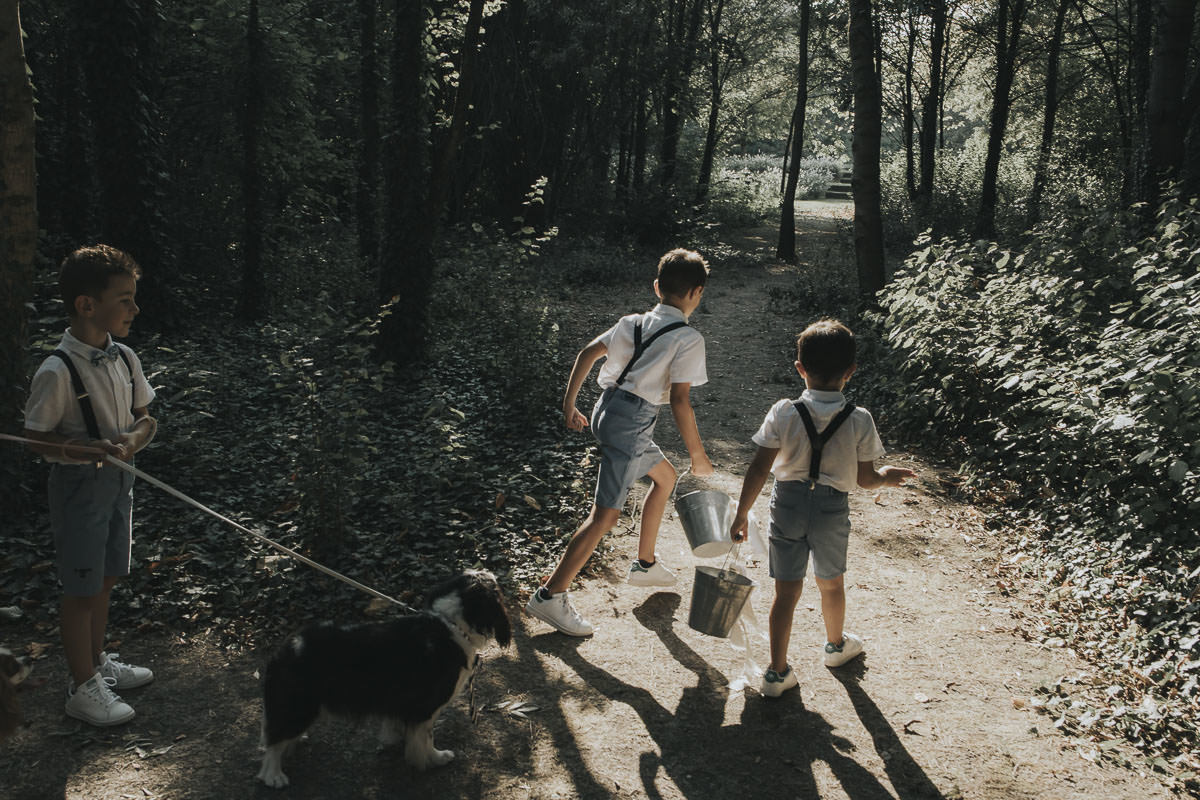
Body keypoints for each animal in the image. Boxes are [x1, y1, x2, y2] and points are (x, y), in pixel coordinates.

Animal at [258, 568, 511, 786]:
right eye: (496, 586)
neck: (452, 625)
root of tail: (285, 649)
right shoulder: (426, 708)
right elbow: (426, 737)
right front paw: (435, 758)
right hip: (298, 704)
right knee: (273, 743)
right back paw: (274, 776)